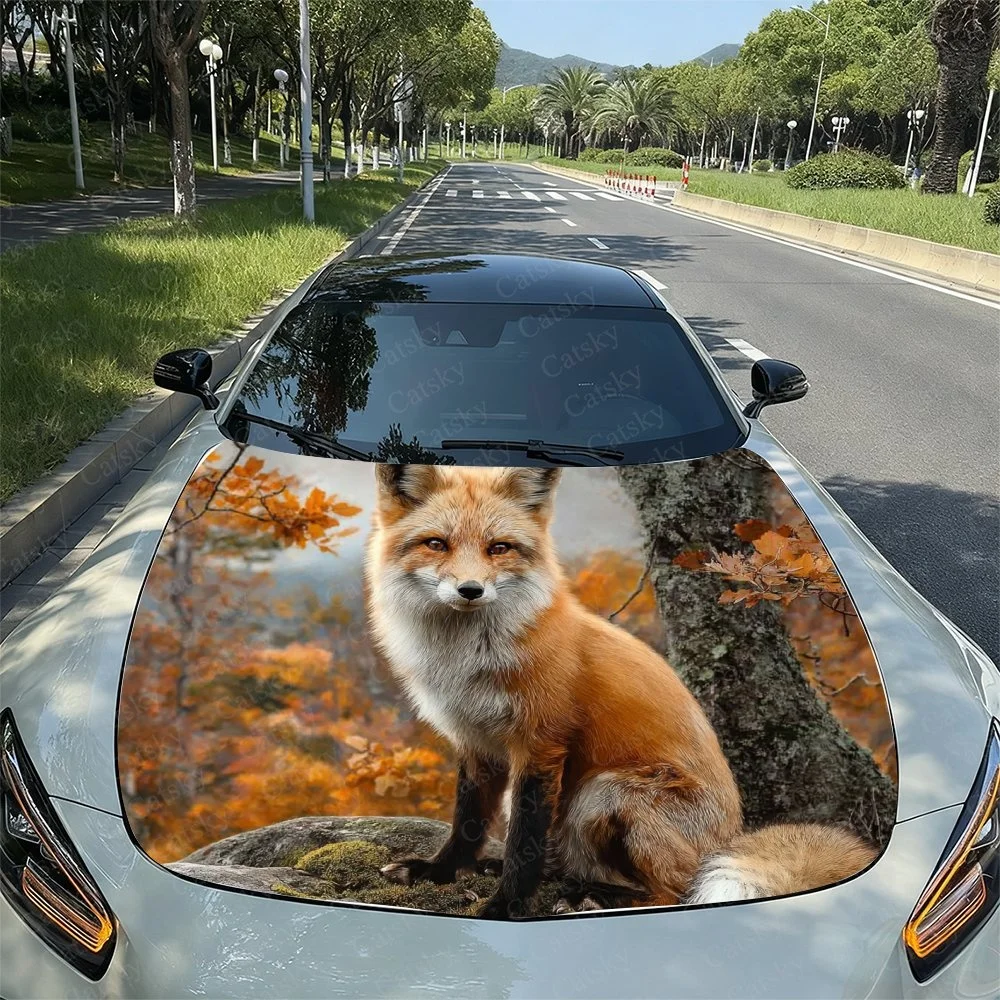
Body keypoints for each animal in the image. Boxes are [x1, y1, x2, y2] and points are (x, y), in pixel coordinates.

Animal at [364, 463, 875, 918]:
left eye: (499, 548)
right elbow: (466, 823)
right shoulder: (475, 741)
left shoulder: (540, 743)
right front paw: (439, 873)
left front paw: (507, 907)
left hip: (605, 791)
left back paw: (595, 897)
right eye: (437, 544)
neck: (465, 661)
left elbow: (524, 843)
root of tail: (730, 835)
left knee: (674, 891)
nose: (470, 590)